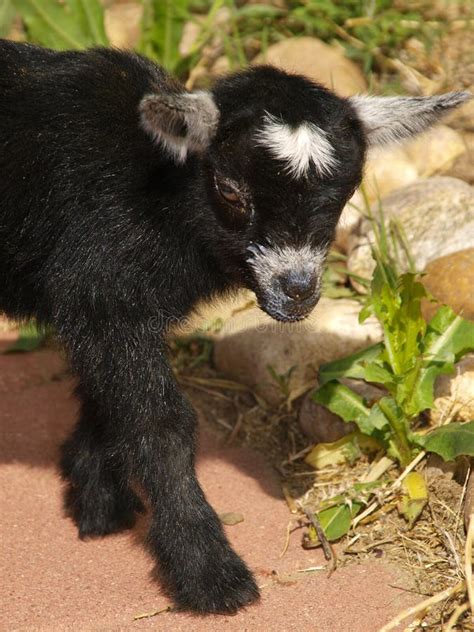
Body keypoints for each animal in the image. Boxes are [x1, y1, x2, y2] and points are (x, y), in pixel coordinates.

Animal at [0, 39, 468, 612]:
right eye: (228, 189)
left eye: (346, 193)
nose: (297, 290)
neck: (155, 189)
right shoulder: (102, 293)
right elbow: (160, 421)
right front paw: (208, 571)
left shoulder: (101, 306)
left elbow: (109, 396)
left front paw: (96, 494)